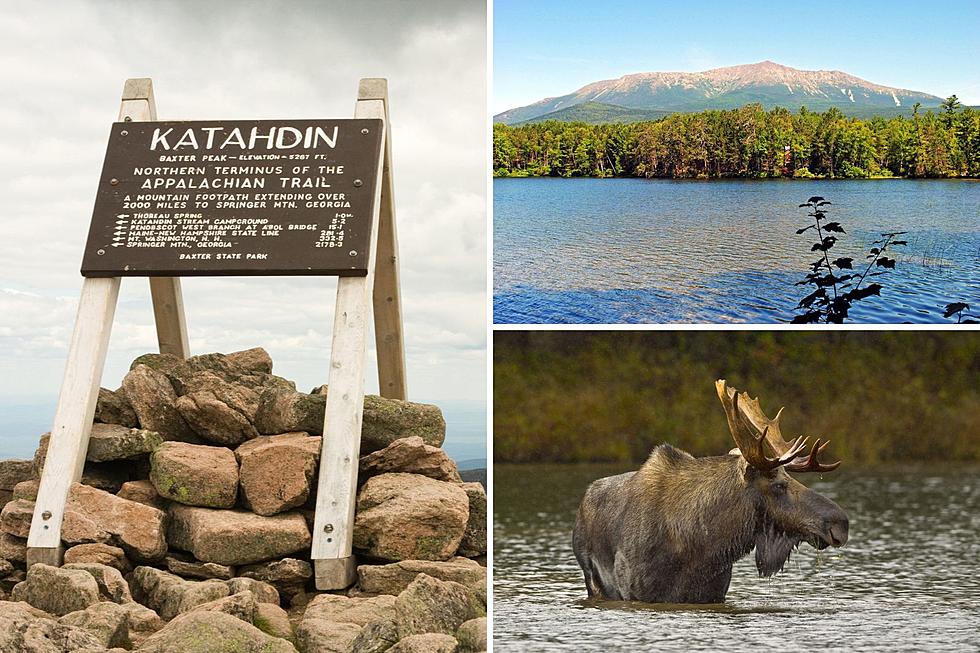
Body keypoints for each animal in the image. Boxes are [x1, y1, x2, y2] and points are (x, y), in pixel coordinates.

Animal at [572, 380, 848, 604]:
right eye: (779, 485)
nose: (840, 524)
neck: (705, 546)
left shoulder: (714, 593)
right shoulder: (637, 592)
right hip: (592, 579)